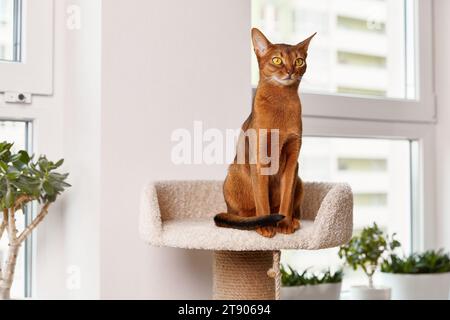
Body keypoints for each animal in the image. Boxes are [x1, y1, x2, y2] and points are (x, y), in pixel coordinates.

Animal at [215, 28, 316, 238]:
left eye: (299, 61)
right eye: (277, 60)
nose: (290, 71)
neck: (281, 103)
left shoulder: (293, 160)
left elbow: (286, 198)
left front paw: (284, 224)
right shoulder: (260, 159)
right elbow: (262, 200)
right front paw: (265, 226)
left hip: (300, 180)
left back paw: (293, 221)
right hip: (233, 172)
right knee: (245, 214)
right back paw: (254, 222)